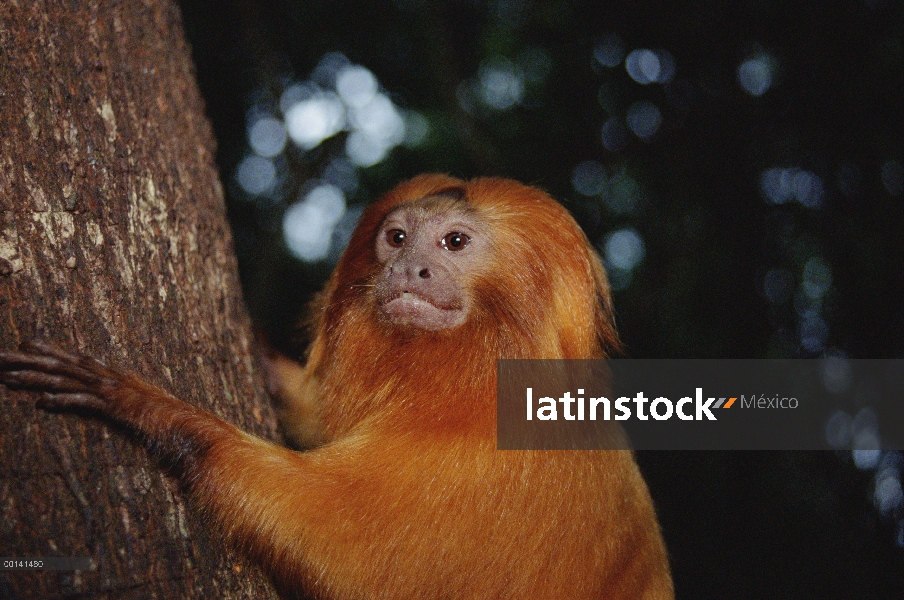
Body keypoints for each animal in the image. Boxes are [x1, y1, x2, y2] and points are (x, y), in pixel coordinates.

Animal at [0, 175, 672, 600]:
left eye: (454, 242)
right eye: (396, 237)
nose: (408, 269)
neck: (473, 368)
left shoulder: (488, 459)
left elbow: (336, 545)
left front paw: (145, 406)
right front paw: (265, 360)